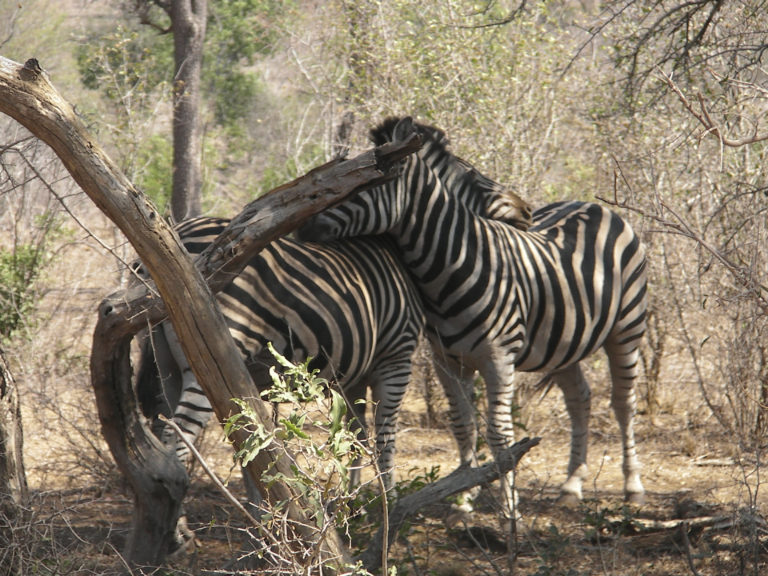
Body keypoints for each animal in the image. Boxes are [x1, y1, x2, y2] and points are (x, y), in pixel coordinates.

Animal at [133, 216, 426, 492]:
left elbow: (356, 435)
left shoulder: (356, 377)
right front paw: (386, 502)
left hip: (165, 359)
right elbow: (385, 440)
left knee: (162, 427)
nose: (307, 232)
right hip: (208, 351)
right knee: (178, 439)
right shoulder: (396, 357)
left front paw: (357, 496)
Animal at [296, 117, 648, 514]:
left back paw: (632, 486)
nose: (300, 227)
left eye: (366, 184)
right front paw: (464, 496)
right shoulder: (446, 362)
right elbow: (462, 424)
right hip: (565, 341)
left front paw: (509, 504)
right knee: (579, 399)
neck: (452, 267)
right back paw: (572, 485)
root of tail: (593, 205)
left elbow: (499, 432)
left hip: (627, 328)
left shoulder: (499, 359)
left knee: (623, 403)